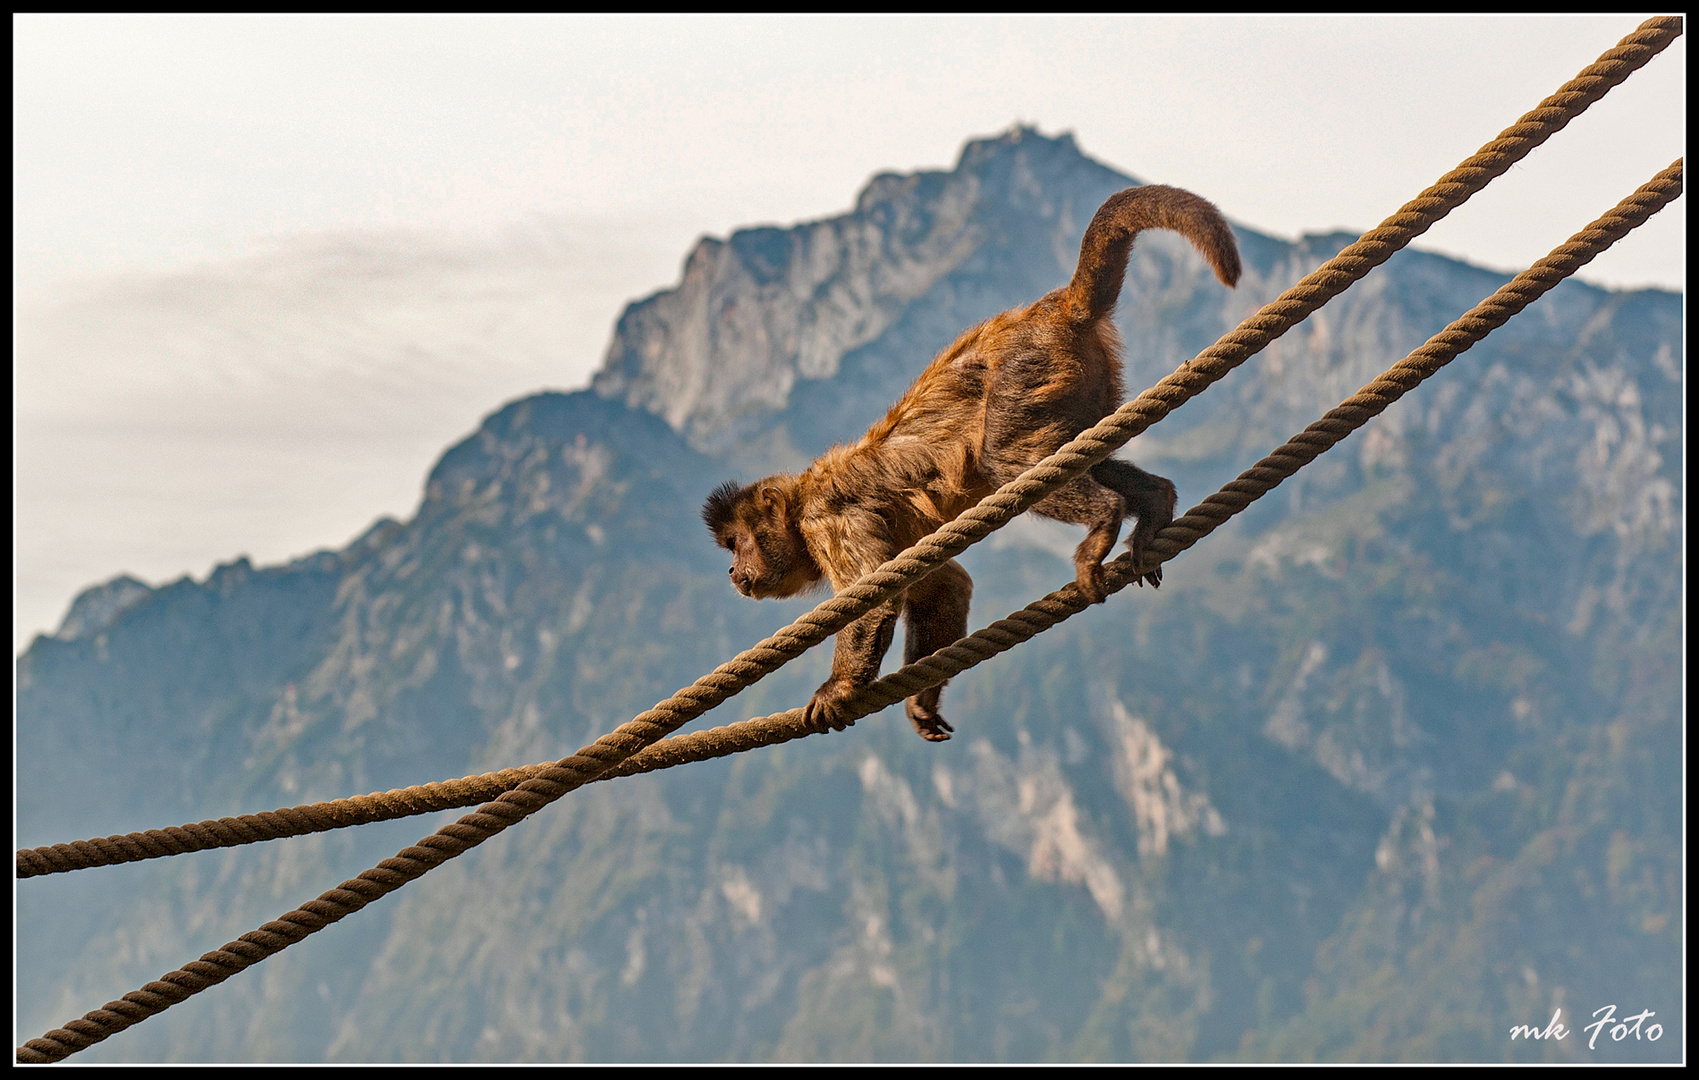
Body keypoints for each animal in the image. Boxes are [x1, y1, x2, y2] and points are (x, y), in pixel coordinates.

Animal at [696, 185, 1243, 743]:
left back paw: (1105, 519)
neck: (802, 501)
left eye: (737, 543)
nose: (733, 570)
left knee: (1006, 462)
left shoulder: (825, 520)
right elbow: (944, 588)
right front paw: (921, 702)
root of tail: (1047, 311)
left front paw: (838, 688)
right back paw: (1154, 504)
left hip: (1028, 368)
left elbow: (877, 602)